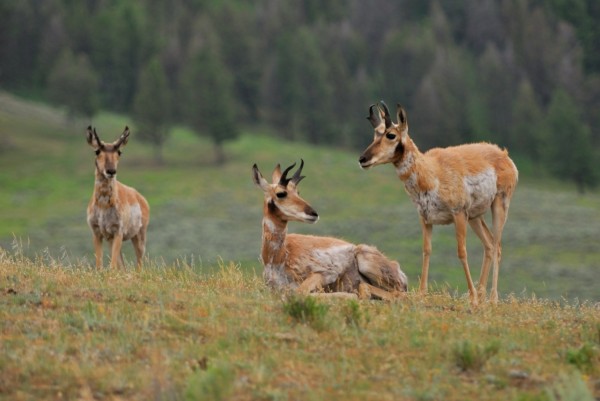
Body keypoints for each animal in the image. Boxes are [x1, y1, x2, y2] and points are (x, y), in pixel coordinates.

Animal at [86, 126, 150, 268]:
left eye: (119, 152)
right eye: (97, 151)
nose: (111, 171)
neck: (103, 205)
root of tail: (140, 197)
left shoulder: (118, 232)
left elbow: (112, 266)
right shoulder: (97, 233)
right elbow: (99, 265)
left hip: (139, 236)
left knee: (140, 263)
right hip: (112, 240)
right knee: (123, 266)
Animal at [253, 159, 408, 296]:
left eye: (298, 192)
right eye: (281, 193)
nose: (313, 214)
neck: (278, 257)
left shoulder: (326, 273)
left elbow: (299, 292)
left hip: (366, 261)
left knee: (395, 294)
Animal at [358, 102, 516, 304]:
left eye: (391, 135)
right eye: (375, 134)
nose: (362, 159)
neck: (431, 172)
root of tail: (503, 154)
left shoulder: (458, 214)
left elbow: (461, 252)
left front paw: (471, 297)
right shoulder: (425, 219)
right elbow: (427, 250)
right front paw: (422, 293)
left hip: (498, 206)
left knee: (497, 247)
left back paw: (491, 299)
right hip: (474, 216)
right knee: (488, 245)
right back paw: (481, 295)